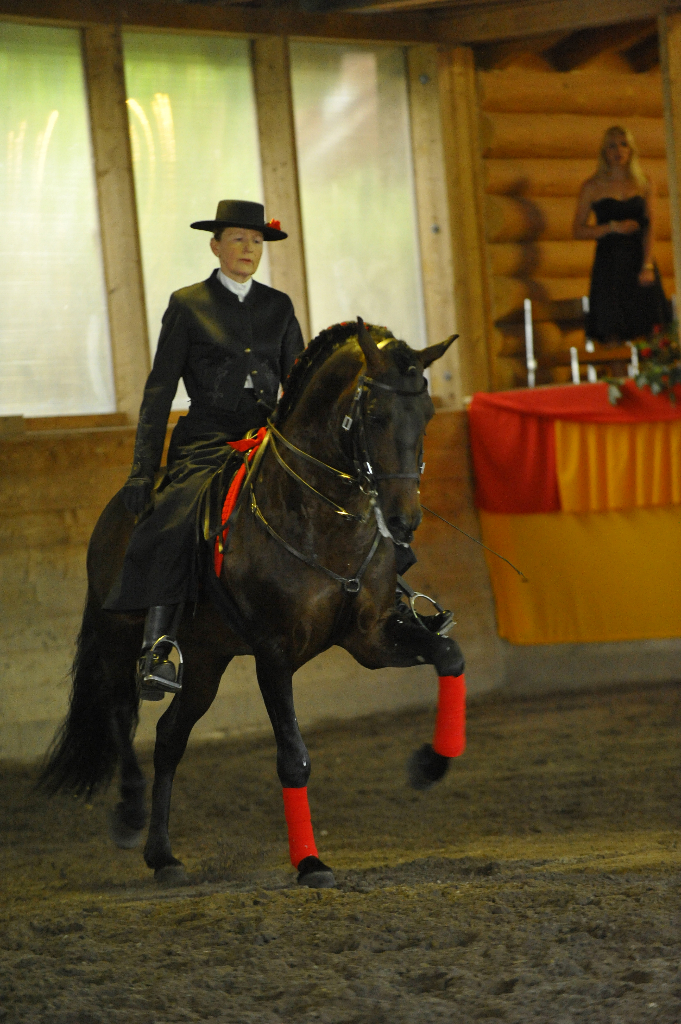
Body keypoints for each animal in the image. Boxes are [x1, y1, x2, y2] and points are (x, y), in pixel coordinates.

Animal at [42, 319, 464, 888]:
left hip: (205, 661)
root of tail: (118, 510)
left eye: (427, 415)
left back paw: (163, 857)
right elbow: (292, 756)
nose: (403, 521)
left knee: (169, 737)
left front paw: (429, 765)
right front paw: (310, 863)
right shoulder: (274, 653)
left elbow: (449, 656)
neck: (319, 518)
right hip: (118, 638)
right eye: (375, 415)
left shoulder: (371, 638)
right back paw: (130, 816)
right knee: (118, 712)